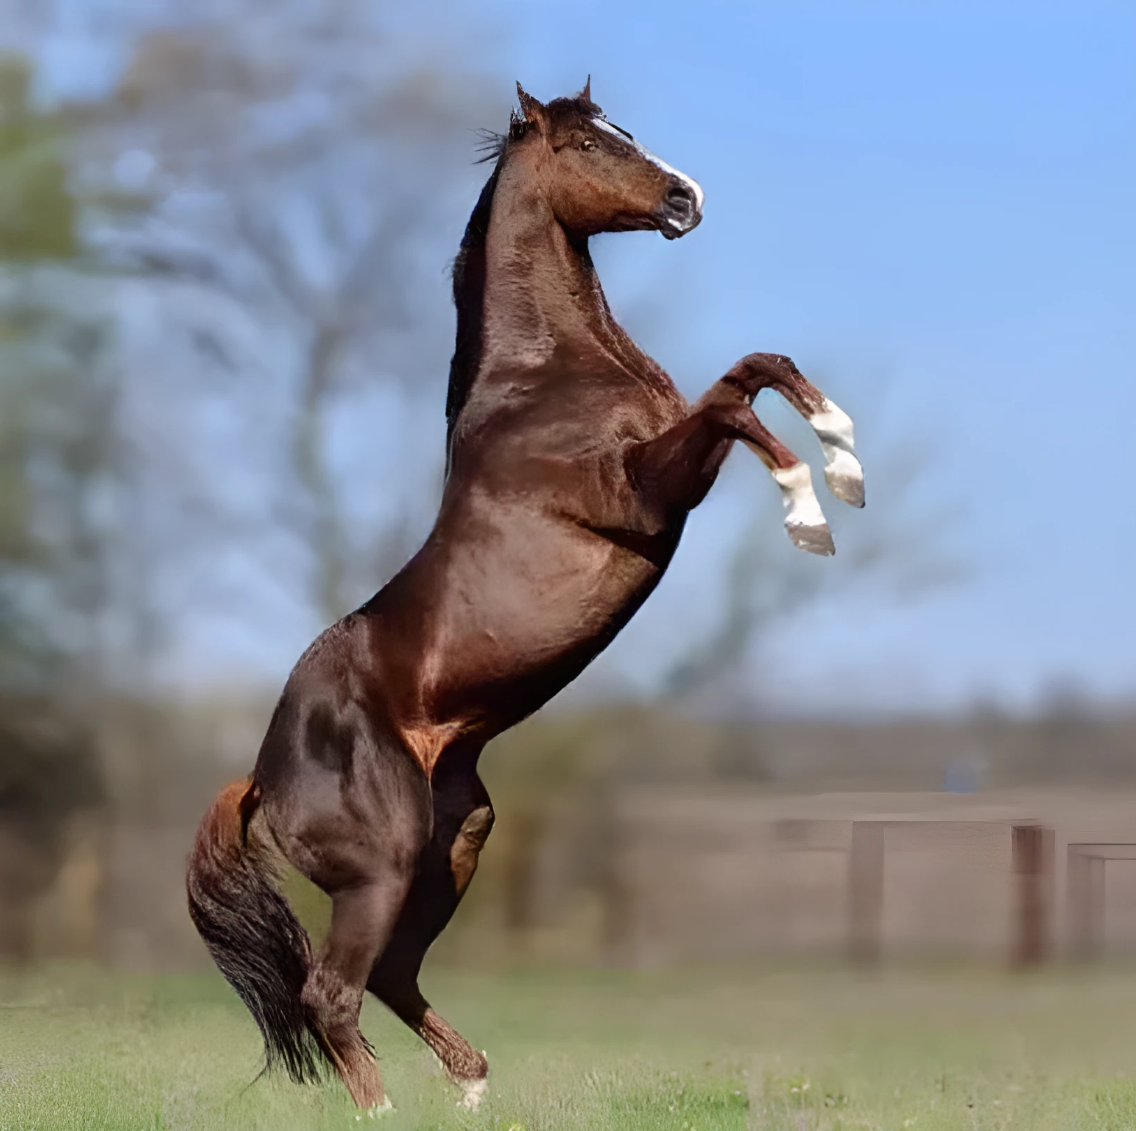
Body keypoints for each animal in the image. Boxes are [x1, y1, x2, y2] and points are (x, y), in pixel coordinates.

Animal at [186, 78, 865, 1114]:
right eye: (589, 144)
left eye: (625, 130)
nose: (686, 199)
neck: (545, 382)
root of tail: (261, 777)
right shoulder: (646, 490)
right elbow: (733, 399)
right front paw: (810, 513)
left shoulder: (673, 472)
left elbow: (761, 367)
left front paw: (846, 452)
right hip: (382, 866)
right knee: (333, 991)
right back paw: (388, 1112)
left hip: (454, 843)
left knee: (392, 976)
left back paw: (473, 1091)